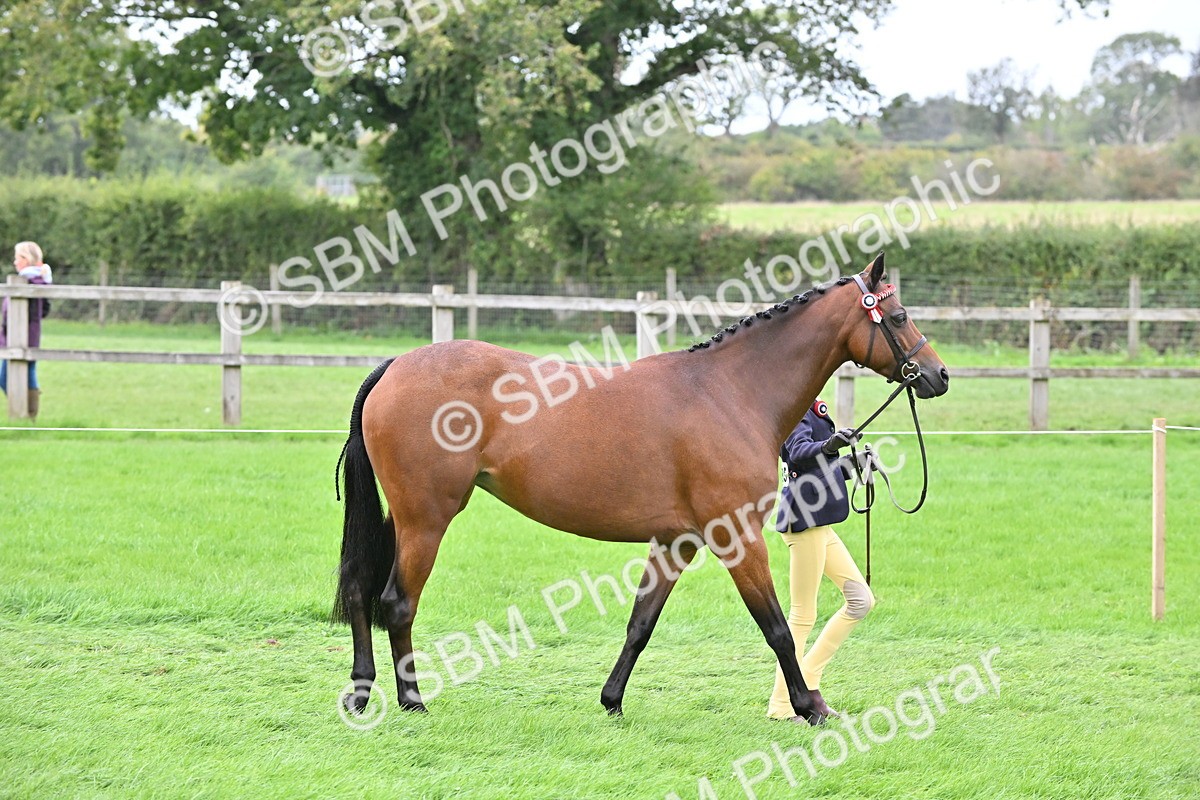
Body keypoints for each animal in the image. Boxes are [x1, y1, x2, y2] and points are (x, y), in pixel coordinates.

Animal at [333, 252, 949, 724]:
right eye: (898, 315)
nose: (938, 375)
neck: (729, 392)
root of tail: (395, 366)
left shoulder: (676, 541)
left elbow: (640, 623)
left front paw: (611, 700)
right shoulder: (737, 539)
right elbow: (777, 628)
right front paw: (809, 705)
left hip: (402, 516)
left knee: (362, 587)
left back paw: (362, 693)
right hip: (426, 519)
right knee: (397, 602)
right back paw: (412, 700)